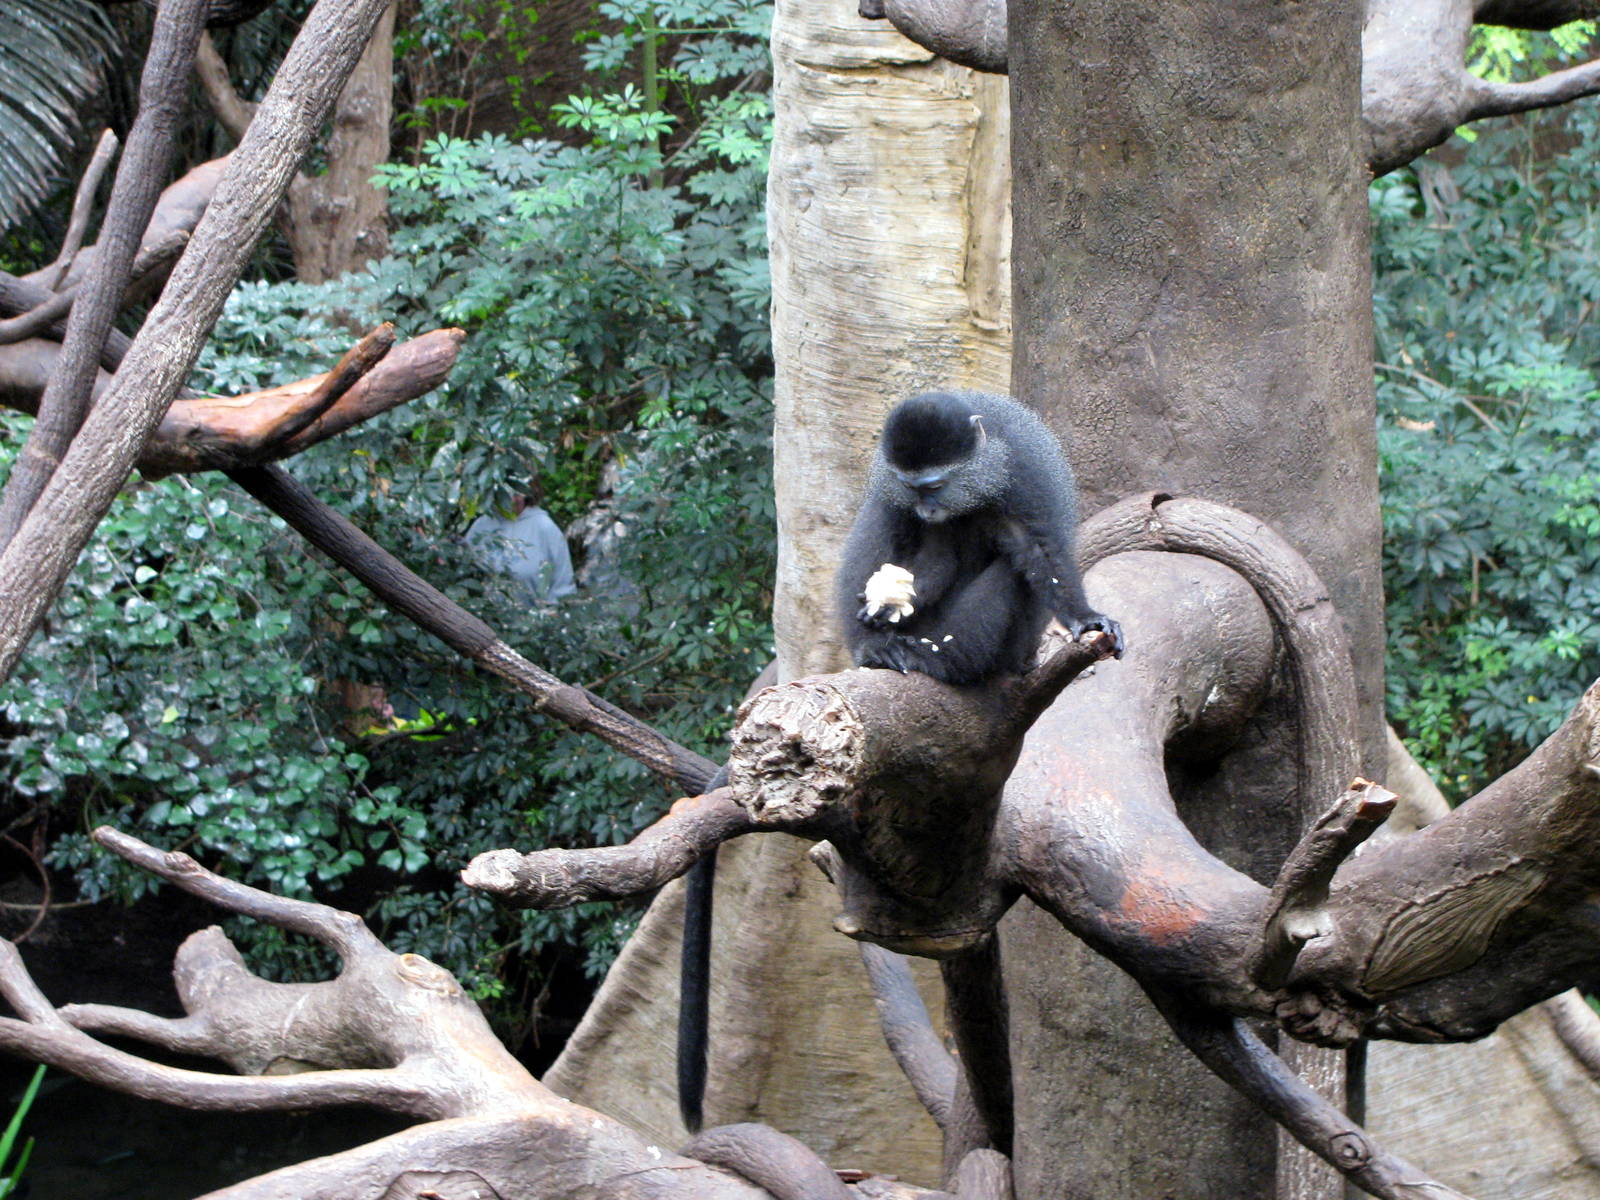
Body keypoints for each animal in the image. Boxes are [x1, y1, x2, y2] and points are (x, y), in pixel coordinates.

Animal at [838, 390, 1123, 684]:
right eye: (909, 487)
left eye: (935, 487)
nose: (925, 510)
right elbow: (937, 561)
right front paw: (889, 605)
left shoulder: (1024, 473)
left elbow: (1037, 549)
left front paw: (1085, 618)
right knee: (879, 518)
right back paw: (875, 648)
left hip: (1013, 651)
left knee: (1011, 572)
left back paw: (942, 659)